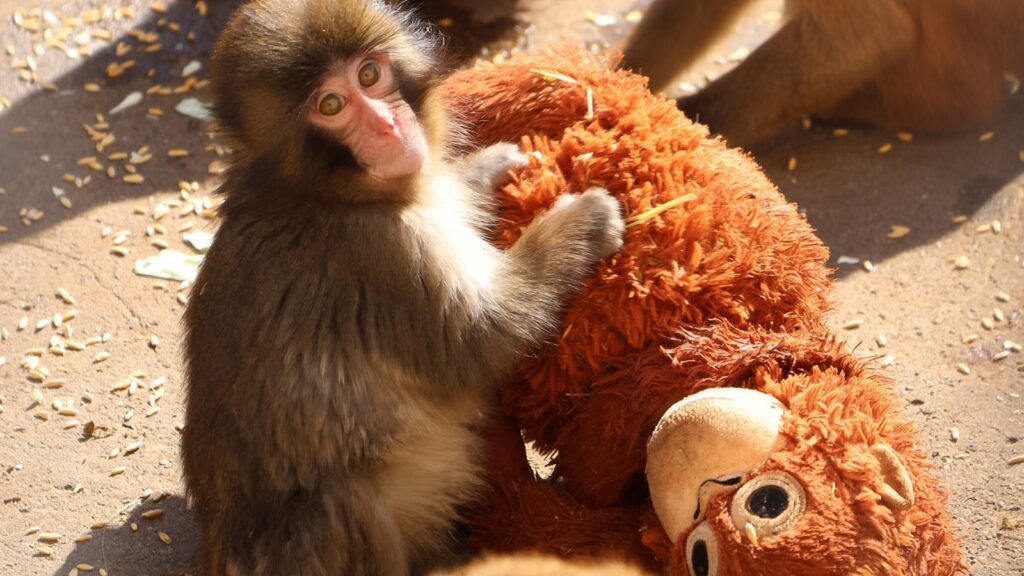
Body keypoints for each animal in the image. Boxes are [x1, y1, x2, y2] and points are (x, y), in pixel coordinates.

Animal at [179, 1, 625, 574]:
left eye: (370, 75)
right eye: (331, 105)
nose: (388, 126)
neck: (323, 193)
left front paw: (486, 169)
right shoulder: (383, 254)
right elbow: (481, 340)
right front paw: (582, 222)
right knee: (341, 502)